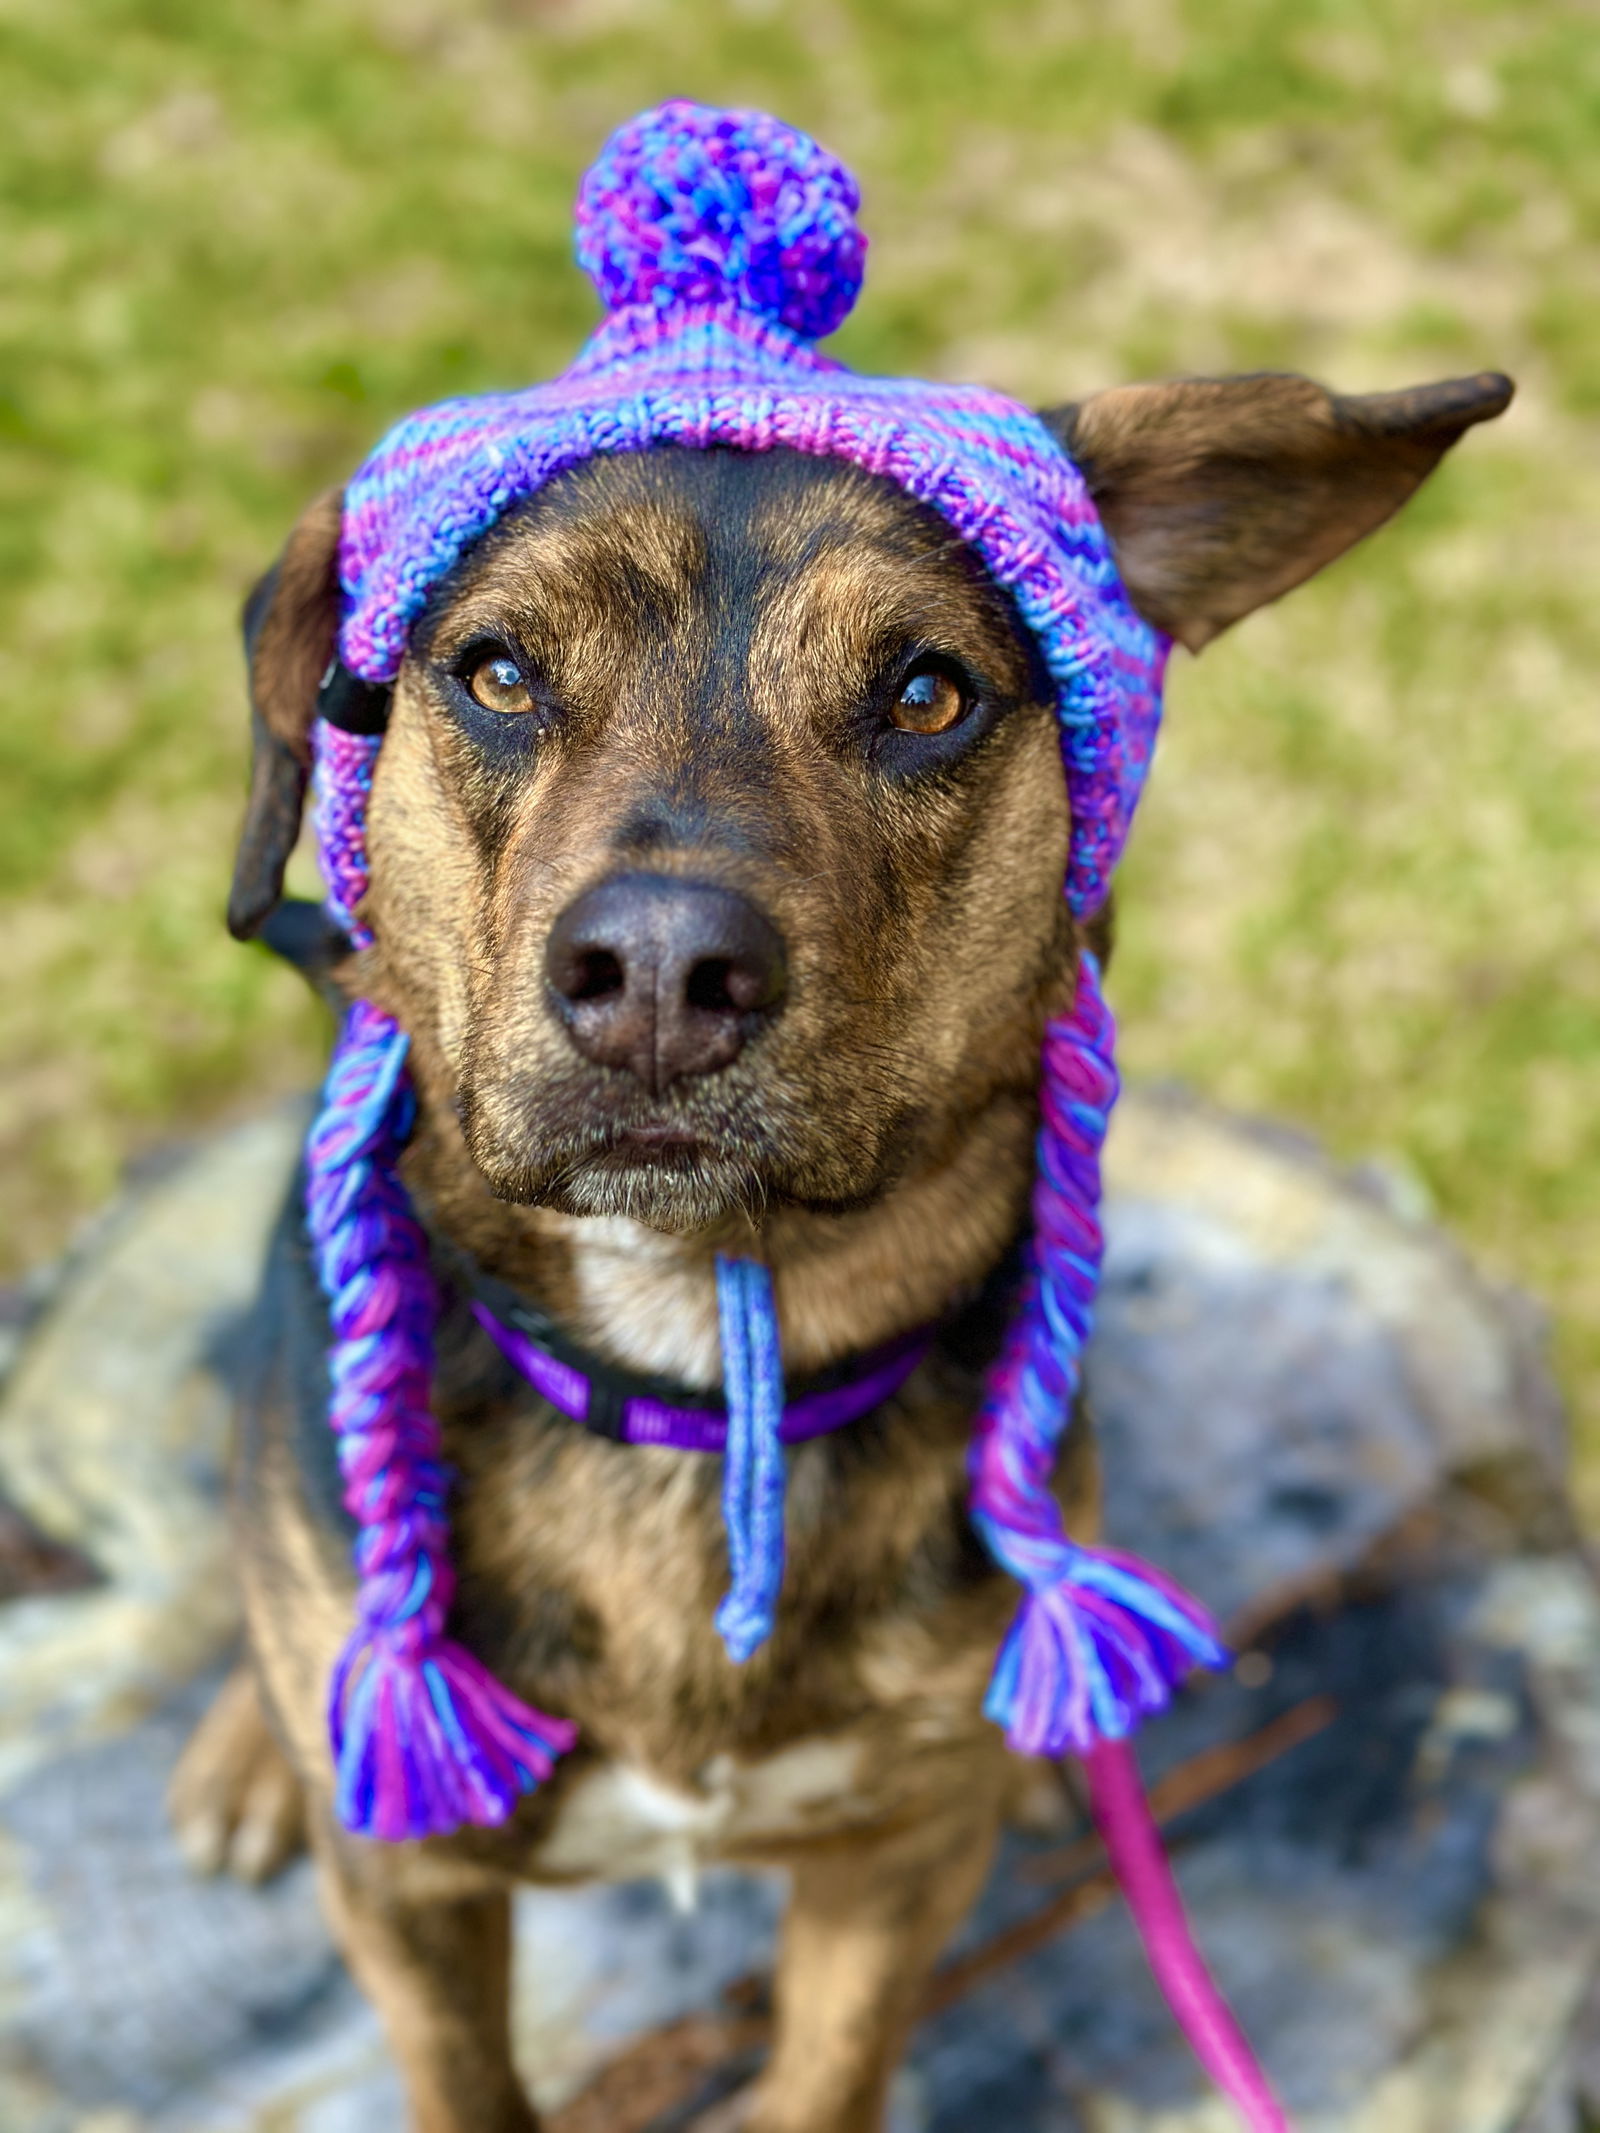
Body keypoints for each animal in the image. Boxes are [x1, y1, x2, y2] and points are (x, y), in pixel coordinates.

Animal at [172, 375, 1518, 2124]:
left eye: (928, 694)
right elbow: (464, 2076)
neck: (702, 1347)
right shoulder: (413, 1897)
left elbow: (831, 2064)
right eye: (498, 672)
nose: (660, 970)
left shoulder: (891, 1869)